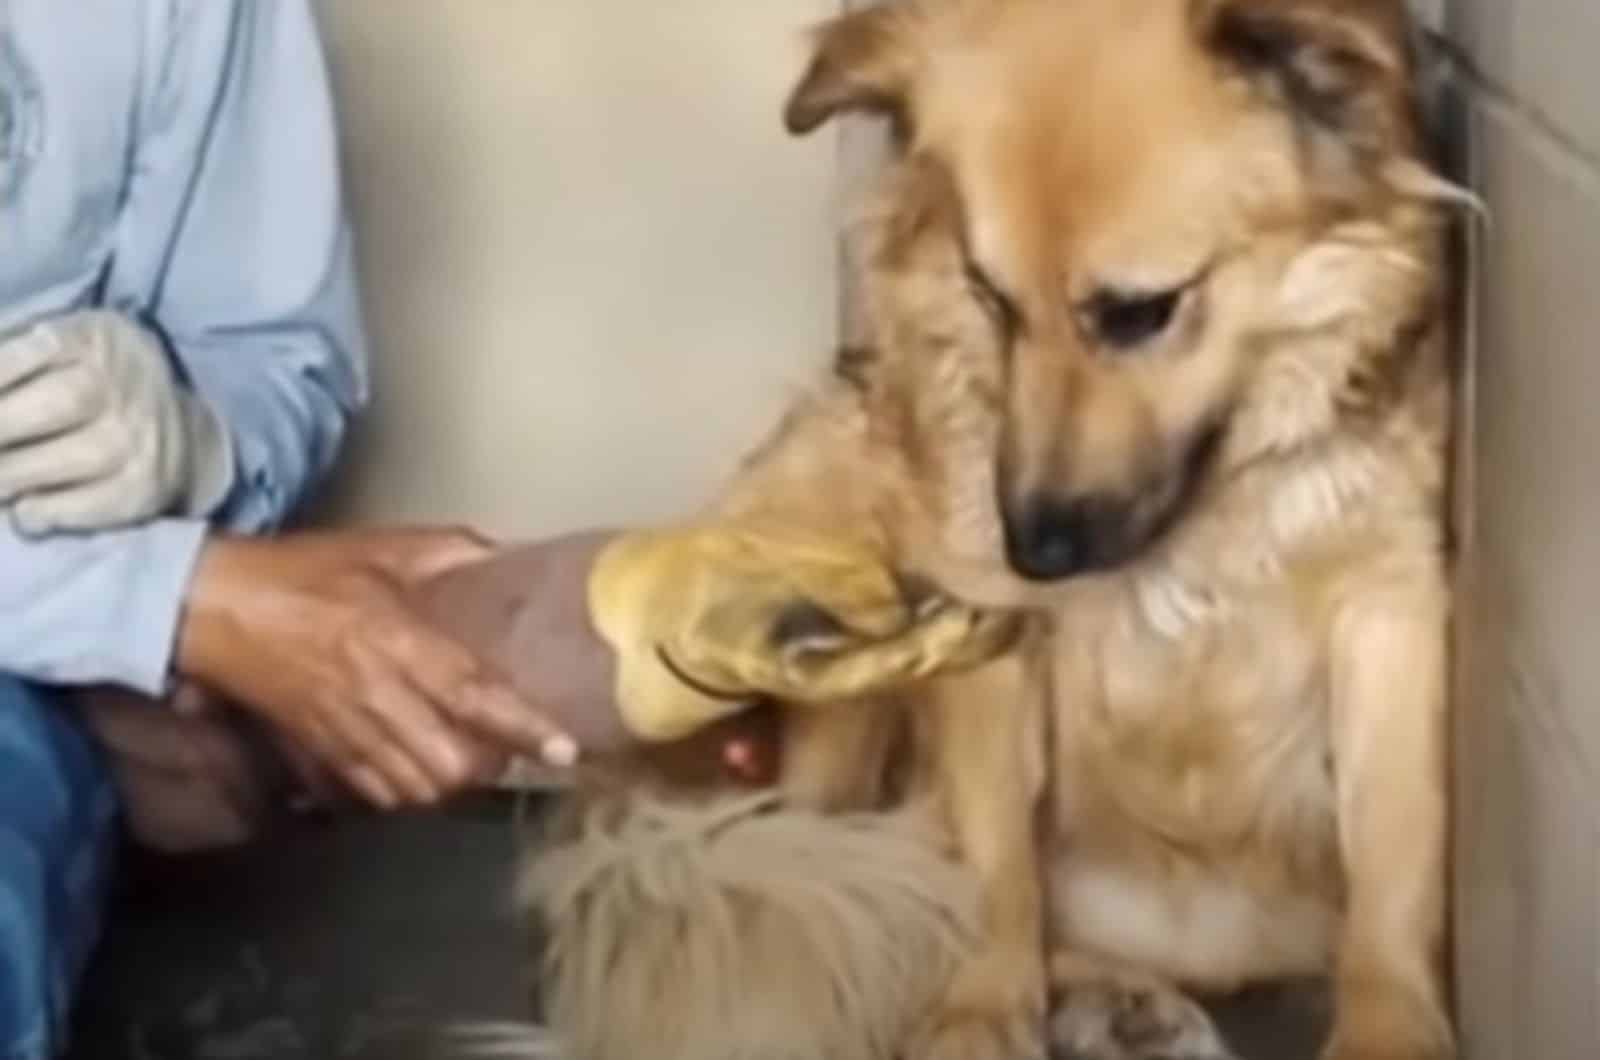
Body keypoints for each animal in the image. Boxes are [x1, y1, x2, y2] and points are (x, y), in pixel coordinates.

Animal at [515, 2, 1472, 1060]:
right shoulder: (987, 640)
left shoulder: (1391, 612)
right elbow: (992, 859)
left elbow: (1393, 853)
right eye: (990, 296)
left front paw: (1388, 1024)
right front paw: (979, 1009)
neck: (1200, 518)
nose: (1034, 553)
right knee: (831, 856)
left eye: (1141, 312)